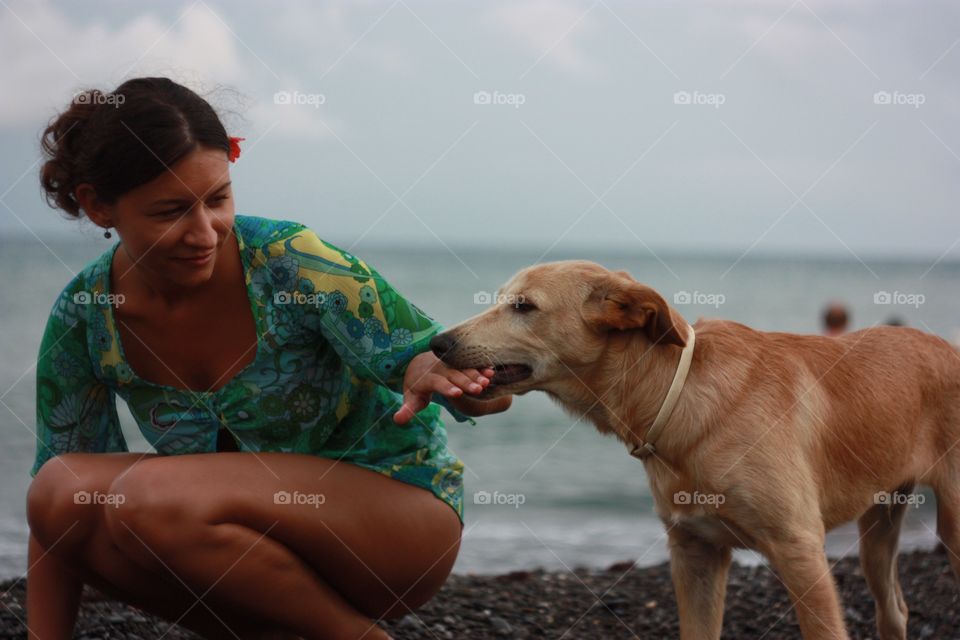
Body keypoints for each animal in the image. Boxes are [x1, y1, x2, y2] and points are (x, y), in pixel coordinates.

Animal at [432, 260, 960, 640]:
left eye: (523, 306)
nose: (438, 342)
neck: (676, 392)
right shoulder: (695, 553)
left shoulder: (800, 549)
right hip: (879, 528)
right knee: (894, 610)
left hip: (952, 524)